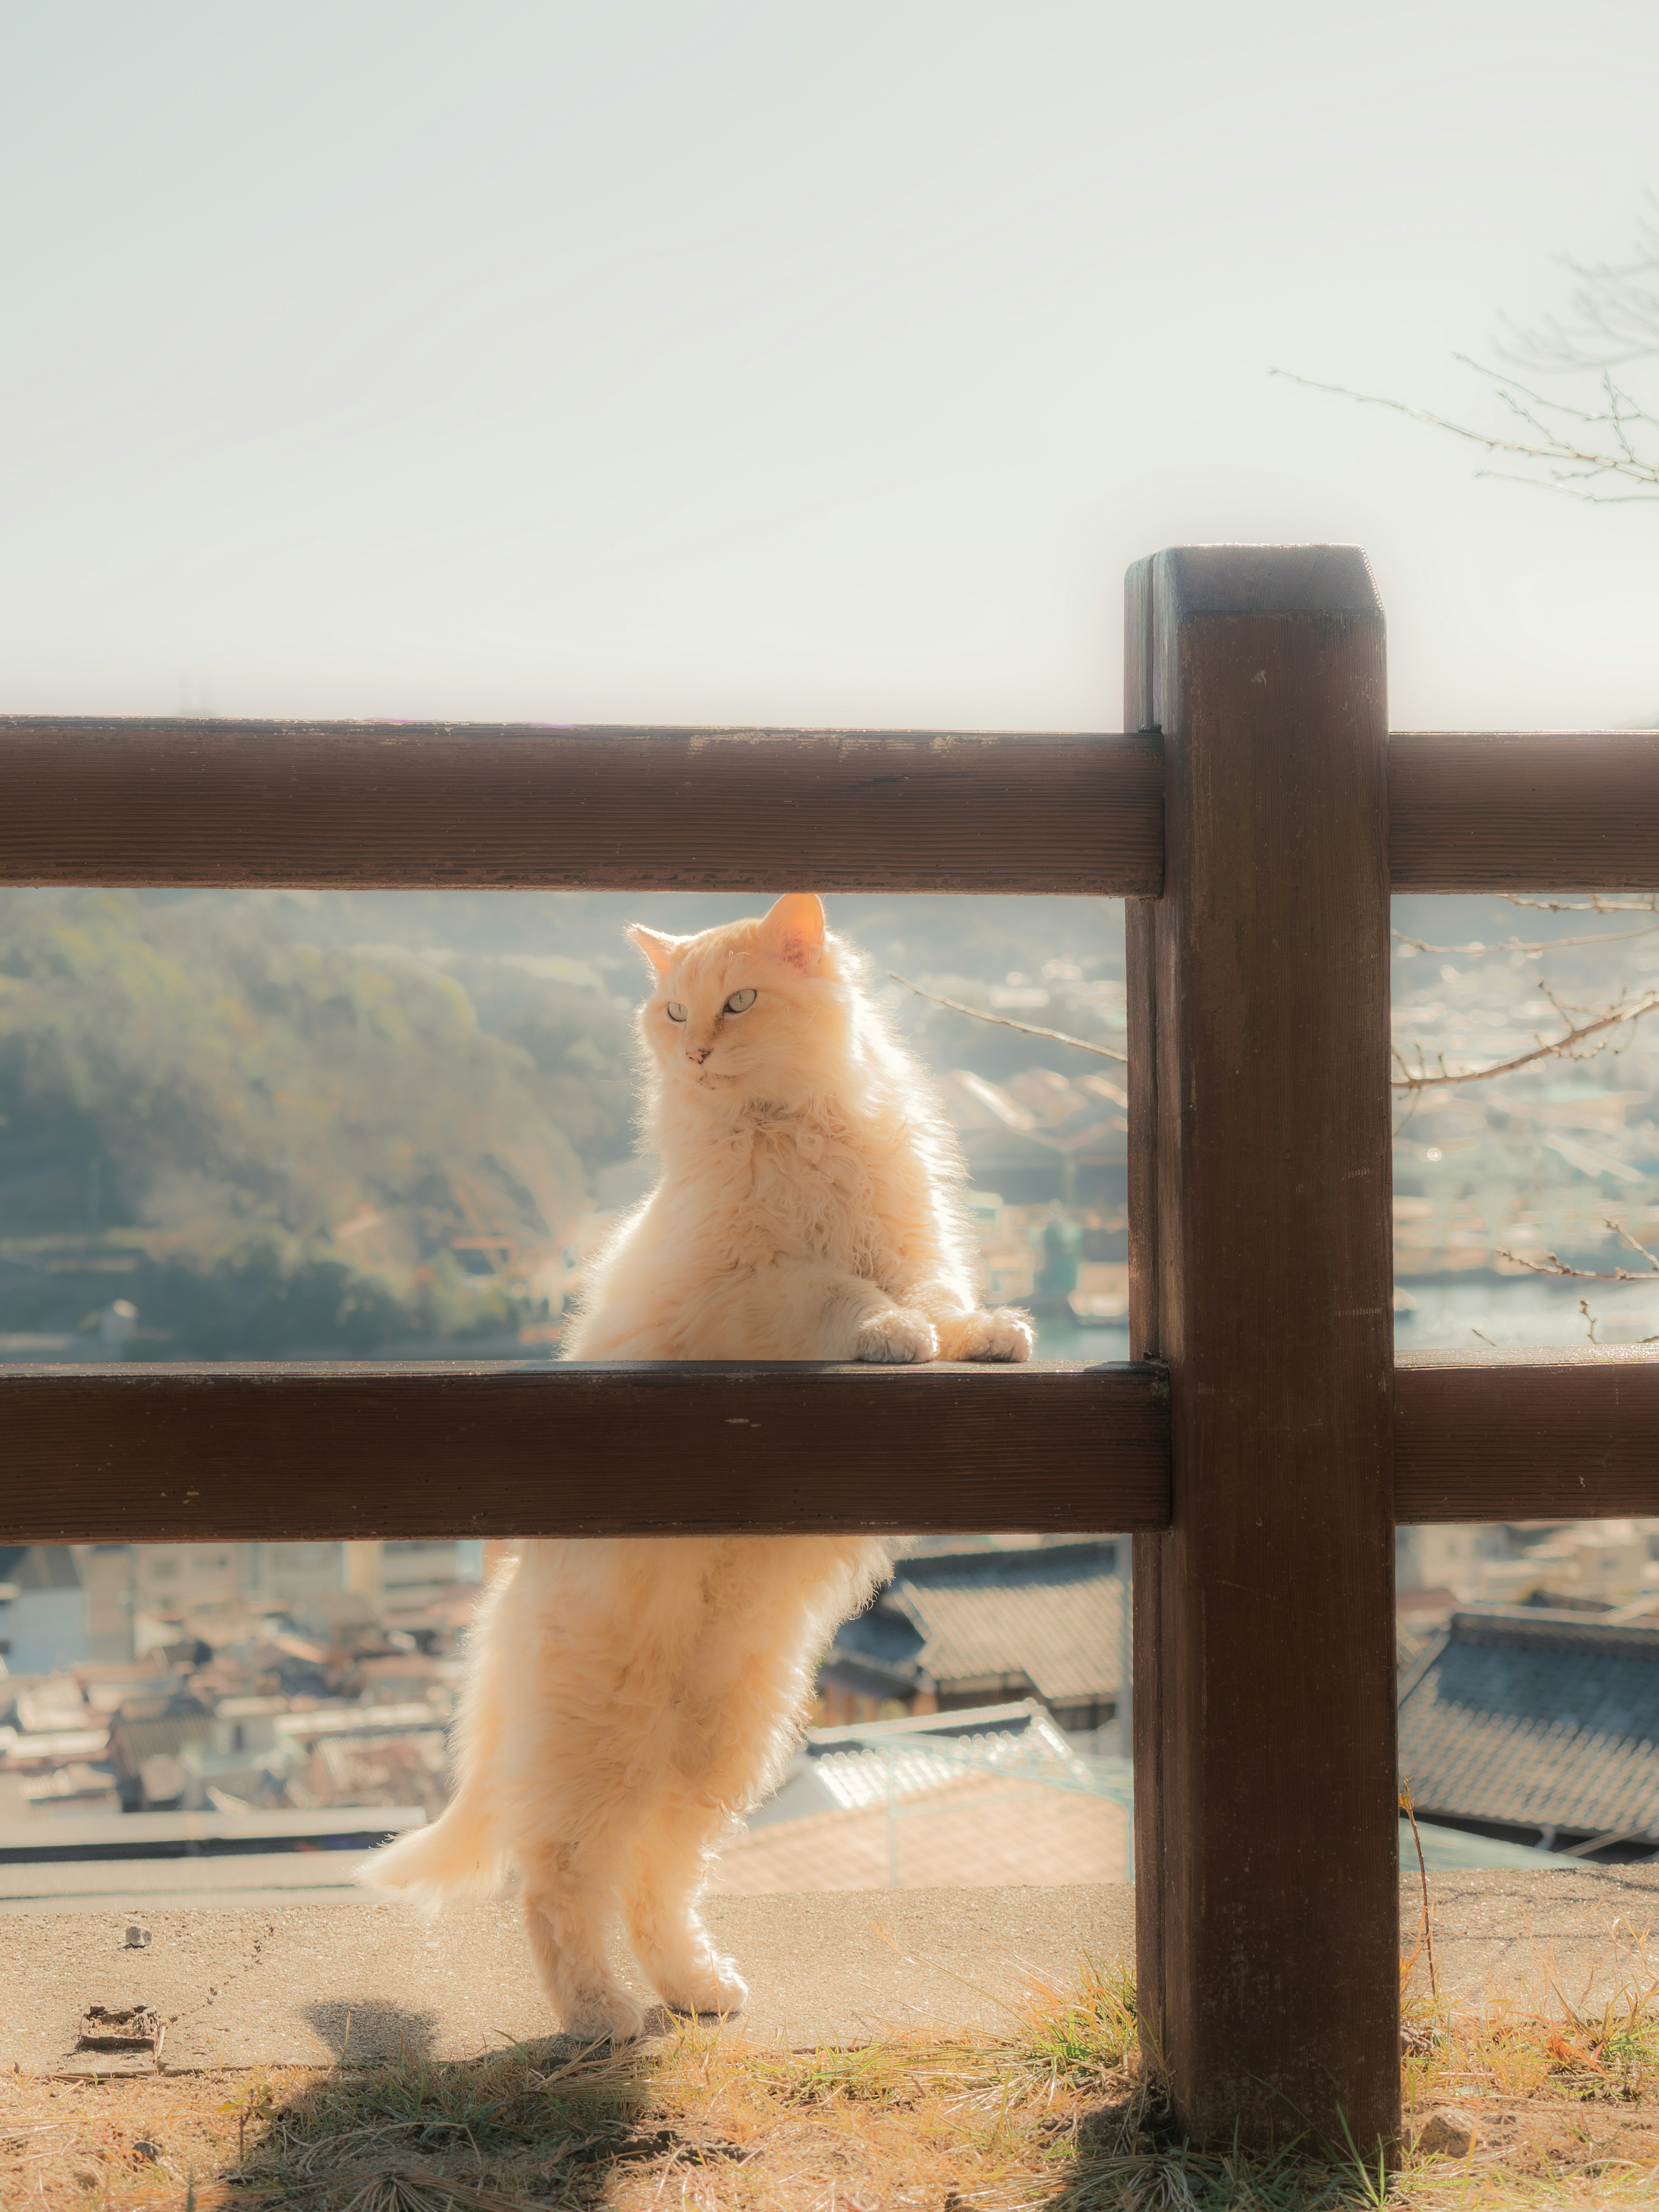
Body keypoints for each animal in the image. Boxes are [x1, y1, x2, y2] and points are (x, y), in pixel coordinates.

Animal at [362, 893, 1035, 2035]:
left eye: (741, 1000)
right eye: (675, 1011)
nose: (698, 1051)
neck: (787, 1125)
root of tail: (503, 1595)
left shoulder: (912, 1244)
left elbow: (941, 1297)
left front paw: (985, 1333)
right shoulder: (755, 1287)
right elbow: (845, 1294)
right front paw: (893, 1336)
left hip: (723, 1741)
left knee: (654, 1879)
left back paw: (697, 1988)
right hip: (611, 1727)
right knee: (557, 1876)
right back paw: (601, 2014)